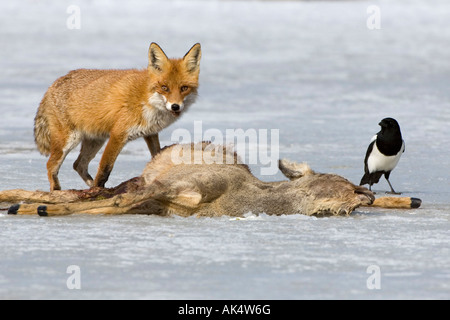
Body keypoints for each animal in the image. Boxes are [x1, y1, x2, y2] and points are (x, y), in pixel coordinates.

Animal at [35, 43, 202, 191]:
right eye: (164, 88)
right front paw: (98, 192)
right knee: (51, 165)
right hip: (69, 141)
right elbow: (104, 169)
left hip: (95, 140)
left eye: (184, 88)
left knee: (78, 164)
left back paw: (89, 186)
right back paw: (57, 190)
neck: (146, 99)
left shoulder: (150, 133)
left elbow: (157, 155)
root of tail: (52, 85)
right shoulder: (117, 135)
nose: (175, 106)